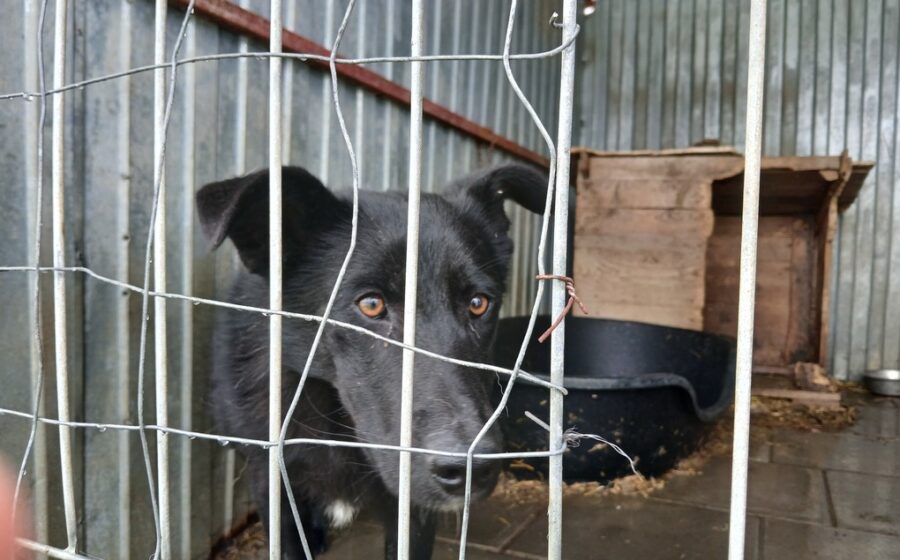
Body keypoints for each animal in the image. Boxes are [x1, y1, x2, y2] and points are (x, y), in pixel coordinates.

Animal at [196, 163, 548, 559]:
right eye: (371, 304)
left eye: (478, 303)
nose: (472, 469)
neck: (335, 422)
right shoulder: (272, 482)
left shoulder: (413, 513)